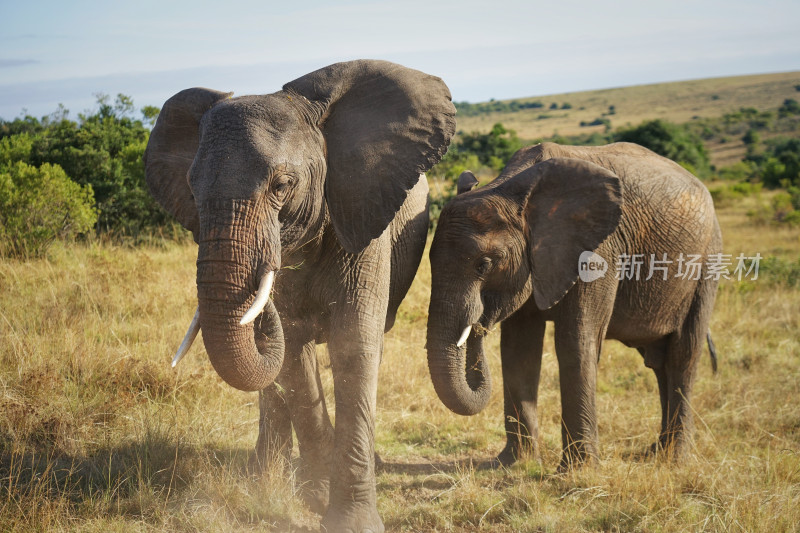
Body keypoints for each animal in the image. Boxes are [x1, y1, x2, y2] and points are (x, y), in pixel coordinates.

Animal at [144, 60, 456, 528]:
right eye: (192, 188)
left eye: (282, 185)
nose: (262, 281)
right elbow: (290, 351)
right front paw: (316, 493)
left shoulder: (361, 216)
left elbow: (353, 345)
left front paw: (351, 522)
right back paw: (261, 480)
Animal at [428, 142, 720, 470]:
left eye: (484, 265)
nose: (478, 324)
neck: (510, 188)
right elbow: (518, 348)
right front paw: (516, 464)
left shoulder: (599, 251)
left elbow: (575, 341)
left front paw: (577, 471)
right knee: (660, 363)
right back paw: (656, 453)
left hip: (706, 263)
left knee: (684, 353)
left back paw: (675, 459)